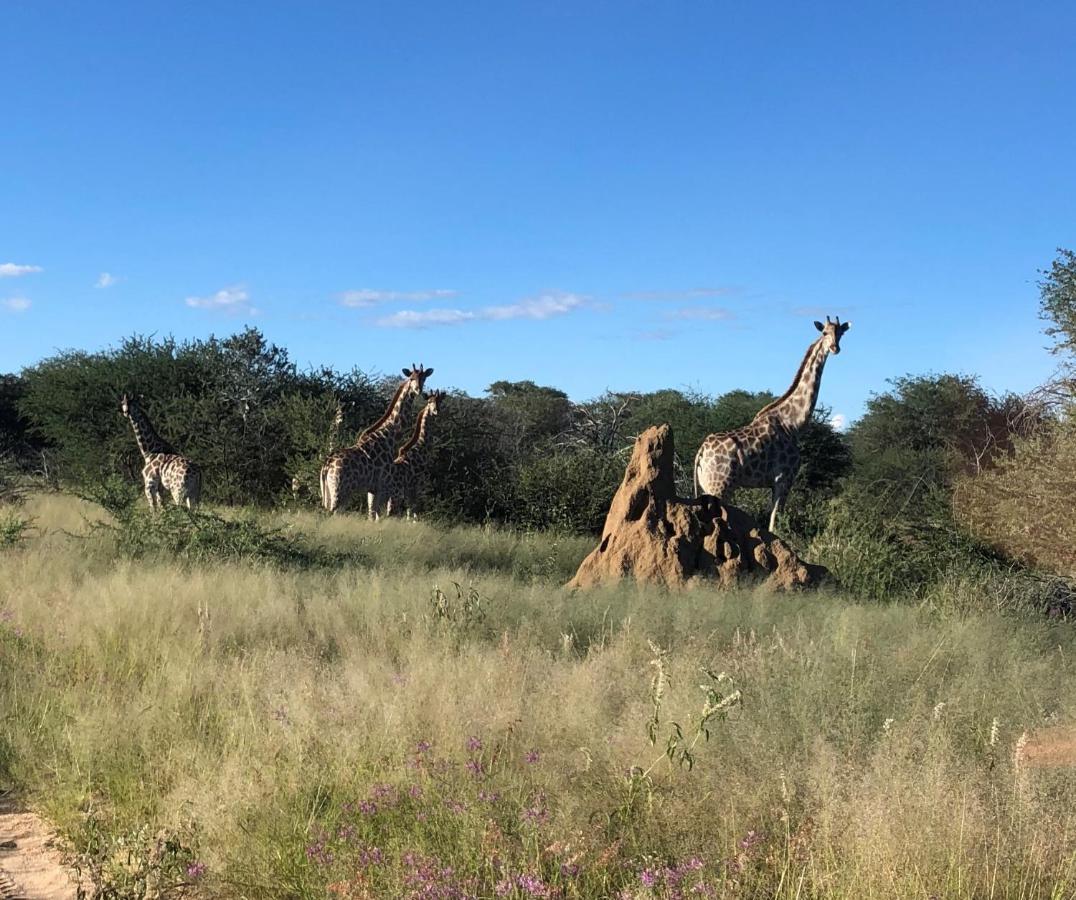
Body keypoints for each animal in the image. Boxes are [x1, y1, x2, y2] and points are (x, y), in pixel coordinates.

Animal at [318, 363, 432, 516]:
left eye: (424, 378)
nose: (418, 390)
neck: (389, 437)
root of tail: (326, 466)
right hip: (339, 490)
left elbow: (372, 514)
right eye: (412, 378)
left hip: (330, 493)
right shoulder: (384, 486)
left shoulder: (372, 489)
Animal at [387, 387, 445, 521]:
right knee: (389, 512)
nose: (436, 411)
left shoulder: (410, 488)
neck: (421, 447)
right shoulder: (417, 484)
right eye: (429, 401)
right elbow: (414, 510)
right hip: (395, 493)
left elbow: (410, 511)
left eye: (439, 401)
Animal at [692, 316, 852, 531]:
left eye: (840, 333)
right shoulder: (784, 478)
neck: (792, 424)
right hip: (719, 485)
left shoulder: (775, 483)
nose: (835, 348)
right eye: (824, 332)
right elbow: (774, 523)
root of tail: (700, 453)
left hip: (708, 485)